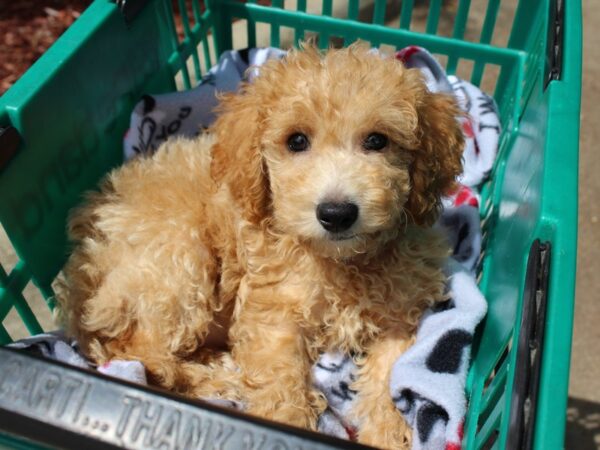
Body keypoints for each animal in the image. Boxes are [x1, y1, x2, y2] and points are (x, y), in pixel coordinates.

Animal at [58, 43, 464, 450]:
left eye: (378, 141)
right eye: (296, 141)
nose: (336, 213)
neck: (341, 261)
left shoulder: (400, 309)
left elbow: (387, 372)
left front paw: (386, 431)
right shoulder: (271, 311)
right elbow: (280, 381)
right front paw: (287, 424)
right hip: (174, 260)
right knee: (144, 355)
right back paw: (217, 378)